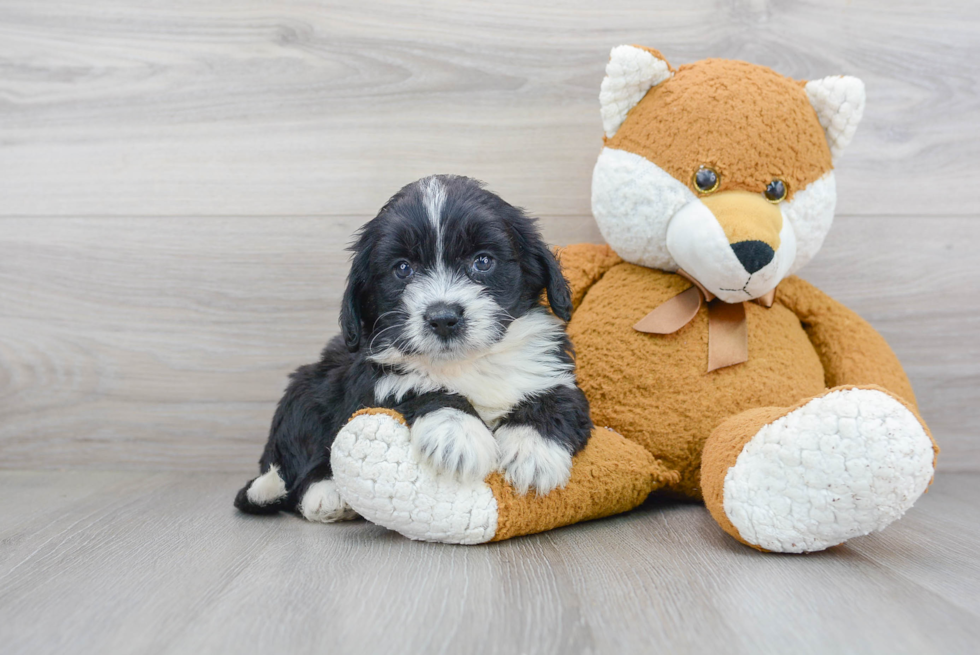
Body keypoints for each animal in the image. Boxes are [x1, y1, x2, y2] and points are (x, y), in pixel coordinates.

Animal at [234, 174, 592, 524]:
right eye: (403, 268)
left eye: (483, 261)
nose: (443, 318)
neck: (464, 363)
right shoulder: (372, 382)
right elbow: (417, 388)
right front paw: (457, 433)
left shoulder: (551, 371)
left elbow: (556, 399)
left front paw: (532, 452)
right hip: (306, 390)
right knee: (297, 466)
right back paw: (327, 494)